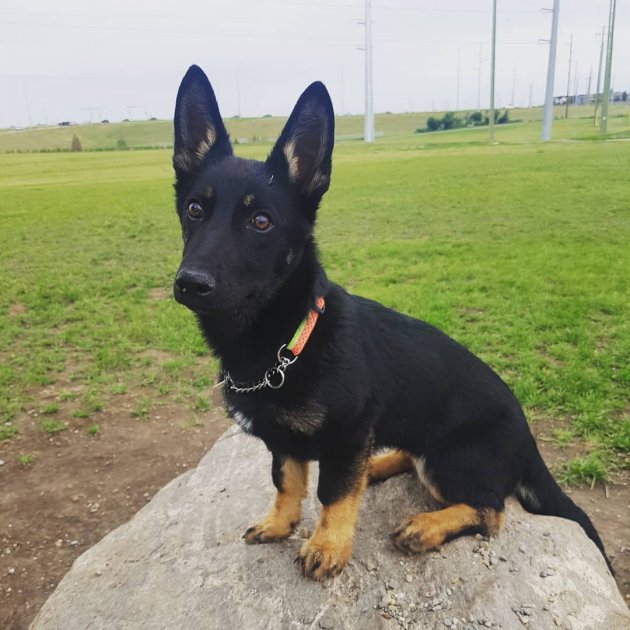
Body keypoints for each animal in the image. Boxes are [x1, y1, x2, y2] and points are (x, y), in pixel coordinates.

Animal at [173, 65, 612, 584]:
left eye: (261, 221)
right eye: (195, 210)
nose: (189, 283)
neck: (287, 338)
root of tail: (529, 441)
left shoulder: (347, 434)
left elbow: (333, 494)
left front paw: (328, 546)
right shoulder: (286, 442)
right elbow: (286, 482)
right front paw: (279, 524)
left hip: (449, 461)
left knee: (491, 512)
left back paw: (426, 525)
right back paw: (378, 467)